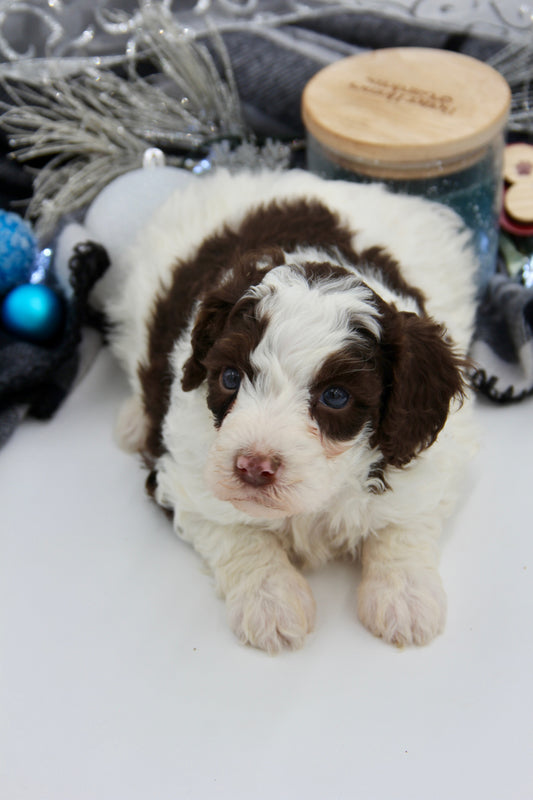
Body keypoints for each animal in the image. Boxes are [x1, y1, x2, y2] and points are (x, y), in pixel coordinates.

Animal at [97, 169, 476, 648]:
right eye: (229, 377)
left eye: (335, 397)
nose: (253, 467)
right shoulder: (185, 475)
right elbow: (237, 532)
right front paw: (270, 601)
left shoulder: (431, 453)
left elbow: (405, 519)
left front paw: (404, 598)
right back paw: (132, 421)